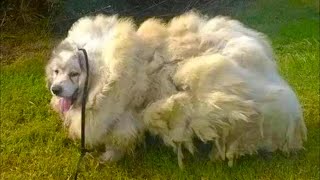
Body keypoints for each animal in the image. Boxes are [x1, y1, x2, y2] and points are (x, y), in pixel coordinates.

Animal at [45, 12, 308, 167]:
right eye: (56, 71)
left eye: (74, 74)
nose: (55, 90)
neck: (103, 73)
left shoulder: (123, 117)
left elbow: (117, 140)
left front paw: (109, 158)